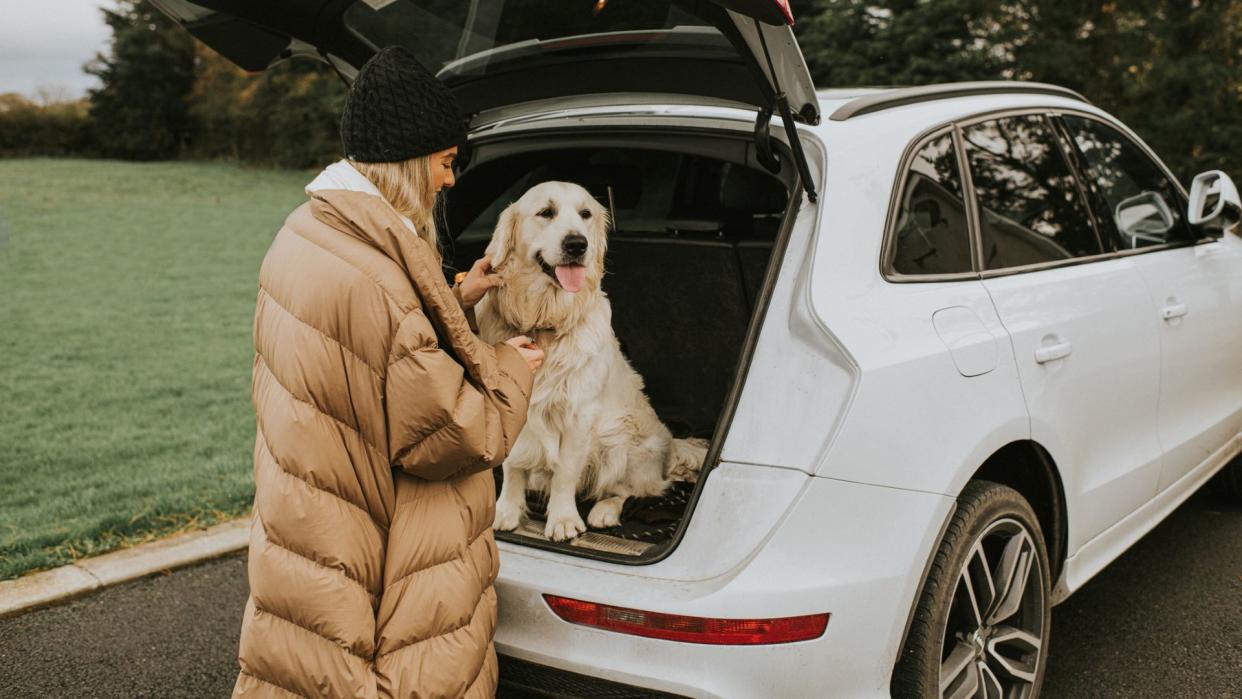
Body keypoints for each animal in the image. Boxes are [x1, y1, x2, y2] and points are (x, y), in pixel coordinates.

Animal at [476, 180, 710, 541]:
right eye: (546, 212)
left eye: (585, 214)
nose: (577, 244)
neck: (545, 319)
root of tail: (672, 443)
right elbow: (512, 463)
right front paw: (506, 511)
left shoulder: (579, 412)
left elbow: (565, 473)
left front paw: (562, 520)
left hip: (622, 442)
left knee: (632, 490)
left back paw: (604, 511)